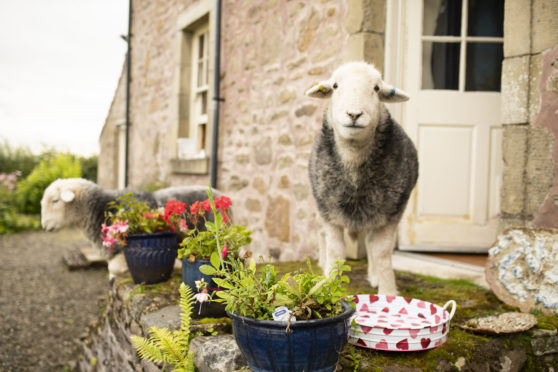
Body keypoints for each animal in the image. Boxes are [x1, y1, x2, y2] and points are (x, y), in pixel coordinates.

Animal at [306, 61, 420, 294]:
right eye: (335, 86)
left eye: (376, 88)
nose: (354, 114)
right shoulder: (329, 212)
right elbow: (336, 251)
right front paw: (328, 285)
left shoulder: (391, 213)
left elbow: (381, 252)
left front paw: (387, 292)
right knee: (321, 233)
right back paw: (322, 263)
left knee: (370, 243)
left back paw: (374, 276)